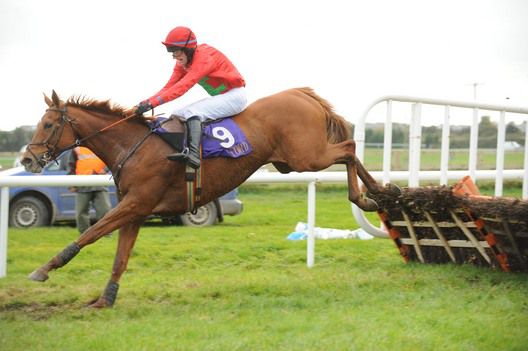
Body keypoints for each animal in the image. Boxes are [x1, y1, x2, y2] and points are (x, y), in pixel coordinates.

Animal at [20, 87, 392, 308]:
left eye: (49, 124)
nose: (28, 160)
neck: (132, 146)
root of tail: (300, 94)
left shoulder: (136, 203)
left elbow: (89, 234)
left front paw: (43, 269)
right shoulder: (135, 210)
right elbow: (120, 257)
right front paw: (105, 299)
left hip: (306, 156)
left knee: (348, 147)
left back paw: (369, 196)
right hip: (291, 162)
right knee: (348, 150)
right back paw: (381, 192)